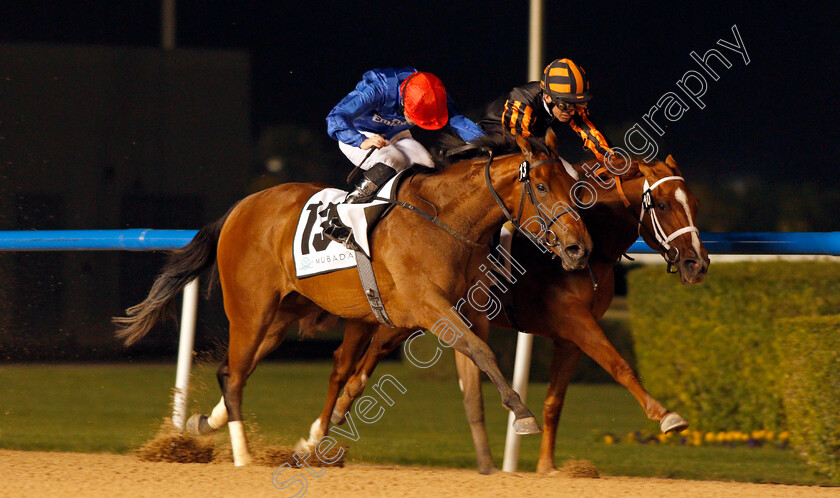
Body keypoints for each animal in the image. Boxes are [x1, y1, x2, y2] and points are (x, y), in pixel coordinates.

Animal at [115, 134, 592, 464]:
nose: (578, 248)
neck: (444, 220)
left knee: (234, 369)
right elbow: (481, 352)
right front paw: (522, 413)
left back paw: (206, 423)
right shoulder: (429, 307)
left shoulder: (433, 313)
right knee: (234, 376)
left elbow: (364, 373)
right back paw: (243, 454)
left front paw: (317, 433)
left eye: (572, 181)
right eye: (542, 188)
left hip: (280, 317)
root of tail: (239, 209)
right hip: (250, 310)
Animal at [302, 154, 708, 472]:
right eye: (662, 205)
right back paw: (317, 435)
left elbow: (555, 401)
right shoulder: (575, 320)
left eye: (694, 203)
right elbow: (619, 365)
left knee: (366, 357)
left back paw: (334, 416)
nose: (698, 264)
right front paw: (666, 415)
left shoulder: (570, 337)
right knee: (346, 363)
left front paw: (547, 465)